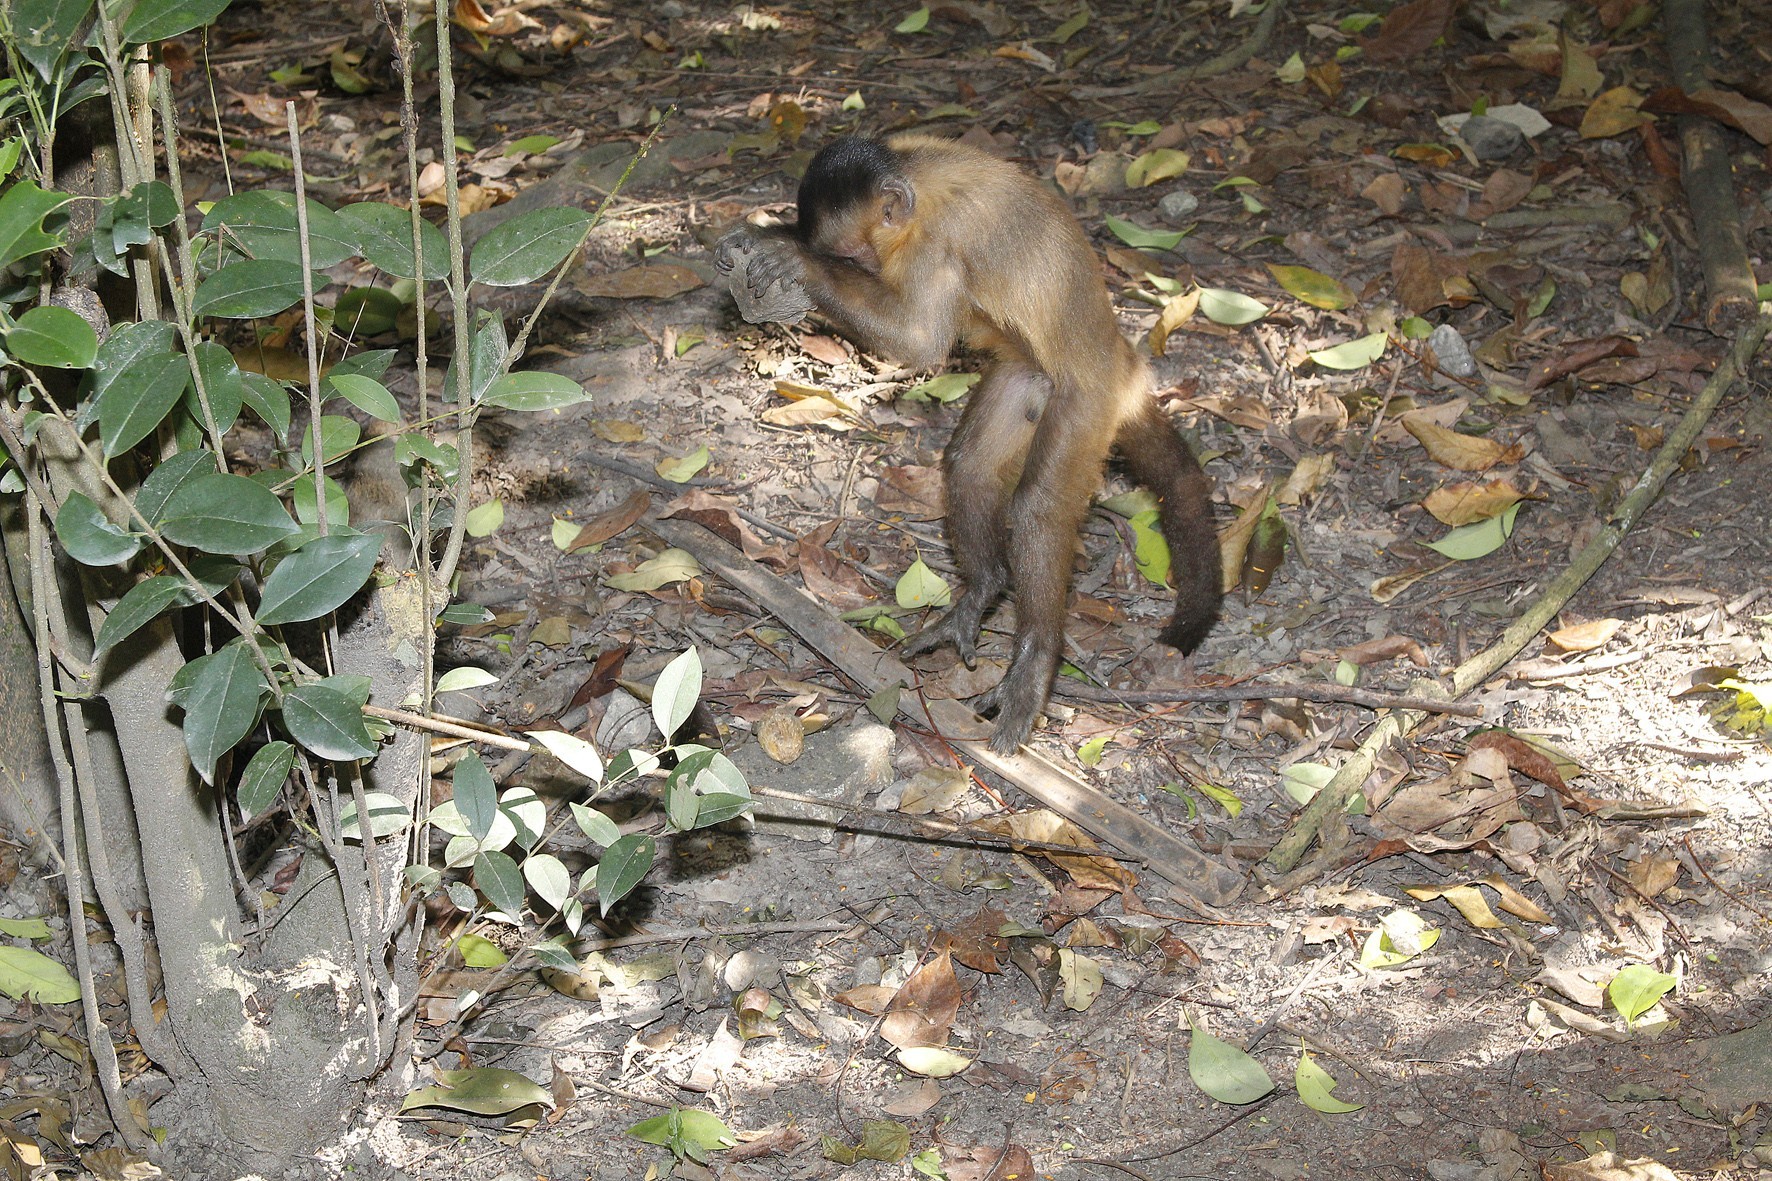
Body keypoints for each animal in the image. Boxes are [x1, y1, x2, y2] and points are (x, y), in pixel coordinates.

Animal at [712, 132, 1226, 748]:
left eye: (851, 260)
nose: (849, 267)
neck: (914, 177)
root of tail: (1126, 368)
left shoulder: (934, 243)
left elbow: (918, 341)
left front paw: (799, 263)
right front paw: (769, 236)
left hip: (1087, 401)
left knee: (1038, 509)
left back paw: (1035, 663)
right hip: (1029, 378)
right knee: (969, 465)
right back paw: (983, 591)